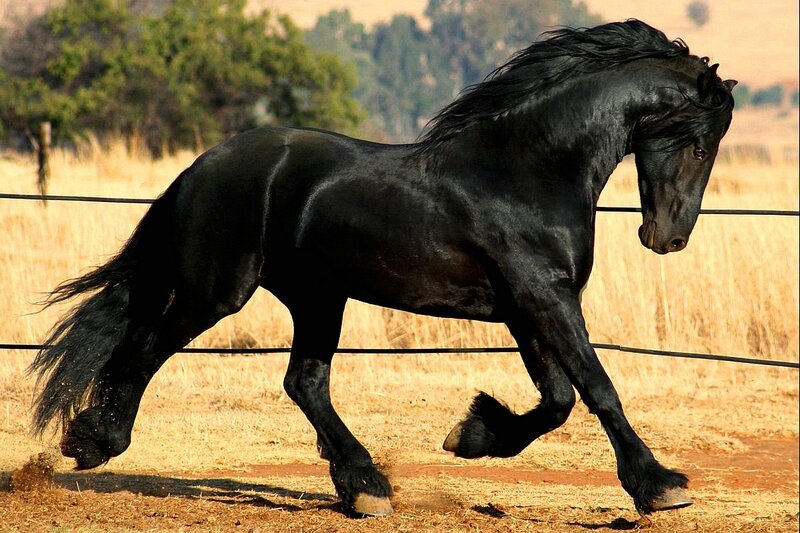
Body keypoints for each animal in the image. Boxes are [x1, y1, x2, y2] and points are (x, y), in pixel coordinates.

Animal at [31, 19, 735, 517]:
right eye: (699, 143)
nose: (668, 238)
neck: (527, 170)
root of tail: (201, 168)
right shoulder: (545, 300)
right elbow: (597, 387)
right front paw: (660, 486)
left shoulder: (526, 307)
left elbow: (558, 399)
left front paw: (472, 434)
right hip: (219, 290)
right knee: (147, 347)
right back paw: (93, 441)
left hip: (319, 297)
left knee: (304, 382)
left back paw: (363, 485)